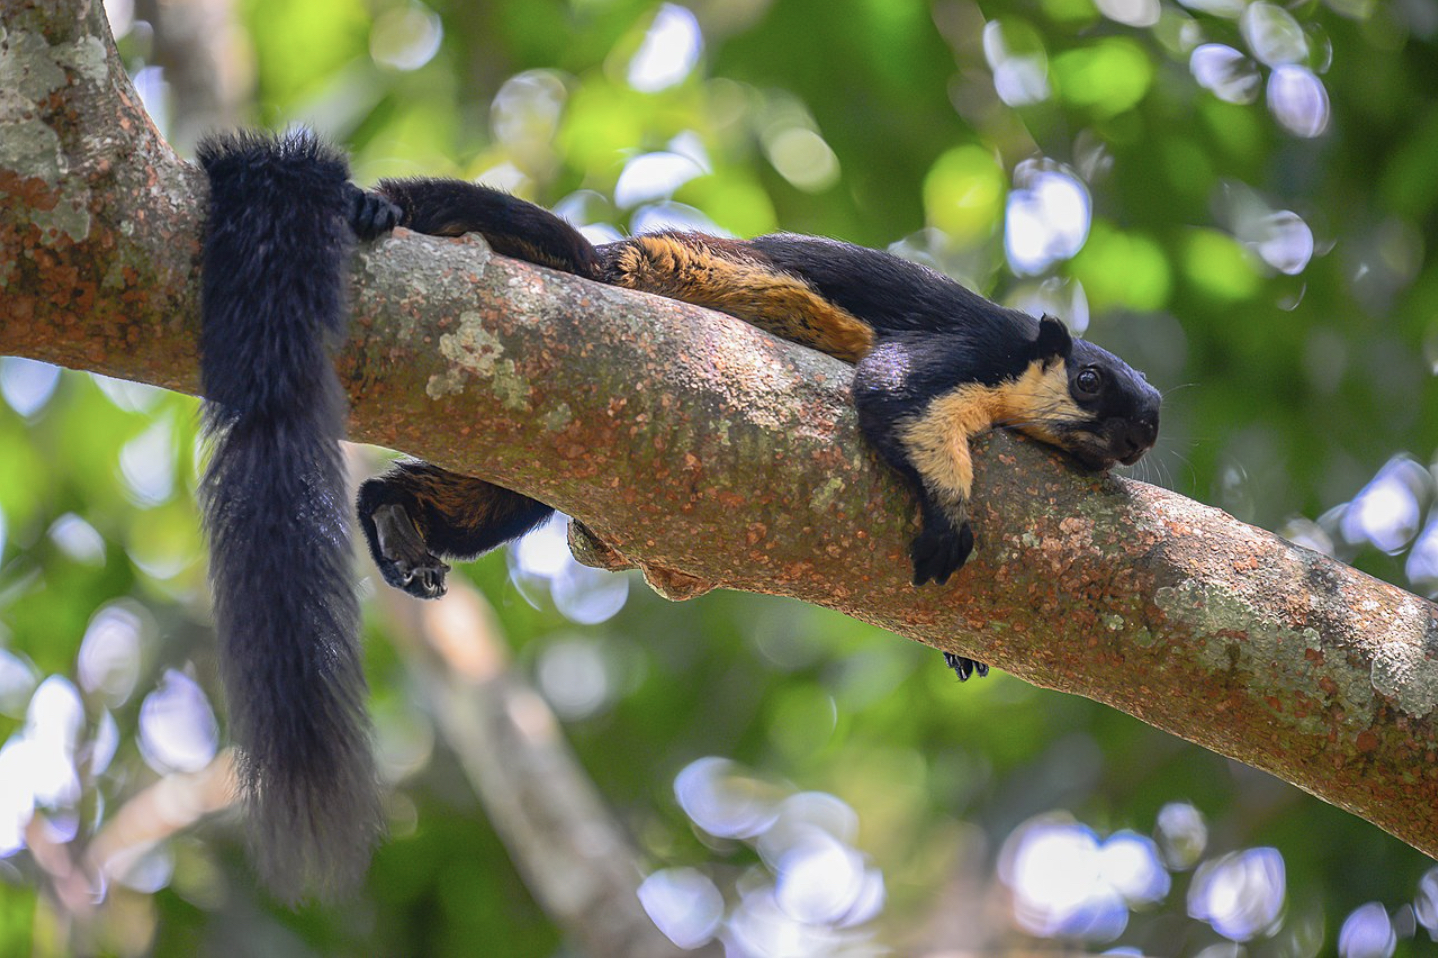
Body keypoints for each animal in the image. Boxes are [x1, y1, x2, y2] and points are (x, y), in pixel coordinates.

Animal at [196, 132, 1159, 895]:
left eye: (1151, 417)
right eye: (1090, 382)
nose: (1136, 432)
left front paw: (959, 642)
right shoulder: (972, 350)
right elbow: (895, 394)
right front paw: (951, 511)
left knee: (500, 488)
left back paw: (397, 521)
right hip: (635, 274)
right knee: (552, 249)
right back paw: (379, 212)